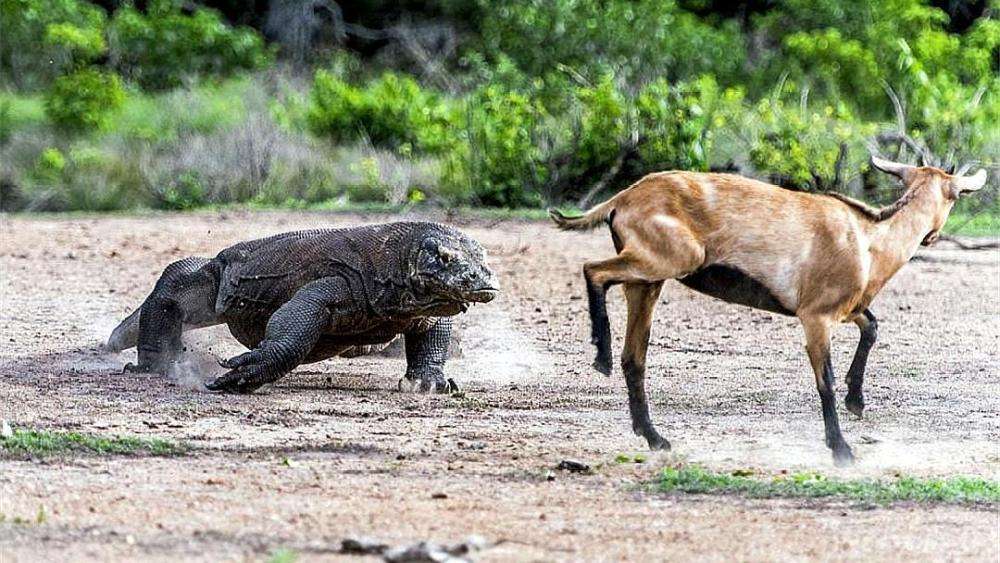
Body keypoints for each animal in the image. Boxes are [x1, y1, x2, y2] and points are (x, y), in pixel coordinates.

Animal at [552, 156, 988, 464]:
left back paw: (654, 436)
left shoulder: (848, 308)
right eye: (955, 196)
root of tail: (621, 199)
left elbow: (872, 327)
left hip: (648, 282)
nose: (931, 237)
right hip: (668, 259)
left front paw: (857, 401)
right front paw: (841, 449)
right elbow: (825, 380)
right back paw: (601, 357)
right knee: (594, 271)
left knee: (635, 356)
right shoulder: (815, 316)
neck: (869, 240)